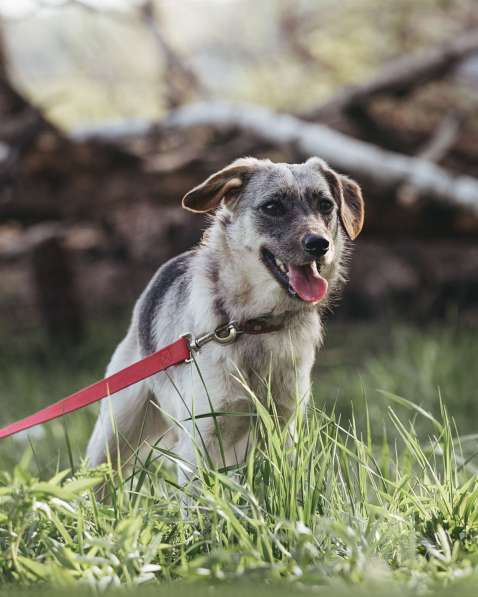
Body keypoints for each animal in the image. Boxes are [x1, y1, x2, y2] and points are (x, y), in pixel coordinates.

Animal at [86, 156, 364, 482]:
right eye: (272, 206)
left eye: (325, 205)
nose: (319, 244)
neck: (254, 324)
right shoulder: (200, 442)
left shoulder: (282, 430)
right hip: (112, 438)